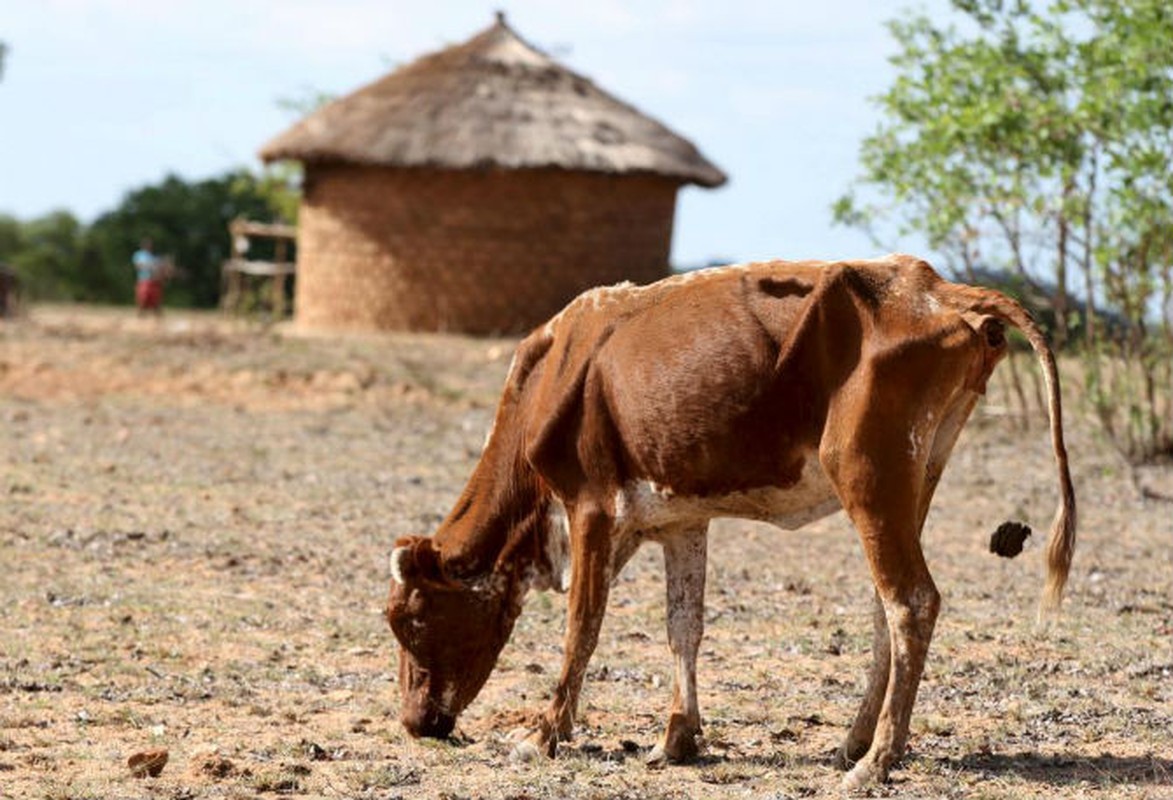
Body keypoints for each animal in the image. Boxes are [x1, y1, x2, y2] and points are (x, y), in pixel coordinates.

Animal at [384, 253, 1074, 783]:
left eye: (410, 619)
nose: (415, 722)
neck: (555, 372)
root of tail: (936, 287)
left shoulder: (590, 507)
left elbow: (583, 626)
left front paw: (542, 733)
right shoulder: (679, 521)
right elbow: (682, 626)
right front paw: (677, 737)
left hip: (866, 473)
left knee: (911, 601)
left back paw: (875, 759)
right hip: (916, 475)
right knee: (888, 608)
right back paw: (854, 741)